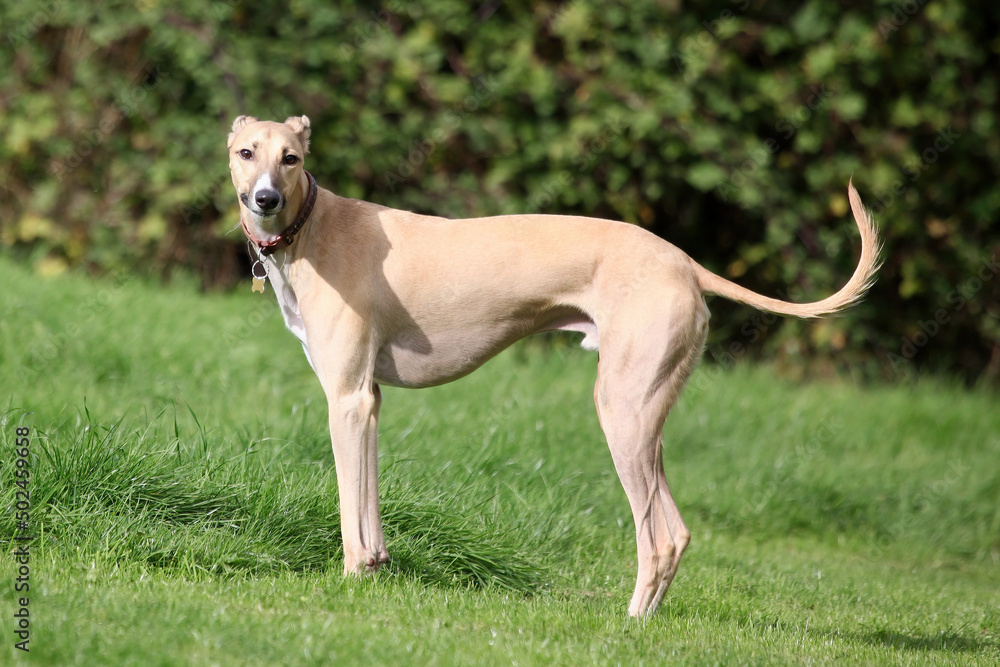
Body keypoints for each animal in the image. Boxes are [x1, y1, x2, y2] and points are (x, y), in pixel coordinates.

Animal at [229, 113, 884, 616]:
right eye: (246, 152)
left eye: (291, 158)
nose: (265, 199)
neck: (313, 229)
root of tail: (683, 262)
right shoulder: (369, 401)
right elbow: (369, 507)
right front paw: (375, 569)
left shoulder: (347, 399)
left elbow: (349, 508)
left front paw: (350, 580)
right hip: (646, 416)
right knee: (678, 530)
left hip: (621, 413)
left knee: (658, 538)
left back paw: (628, 624)